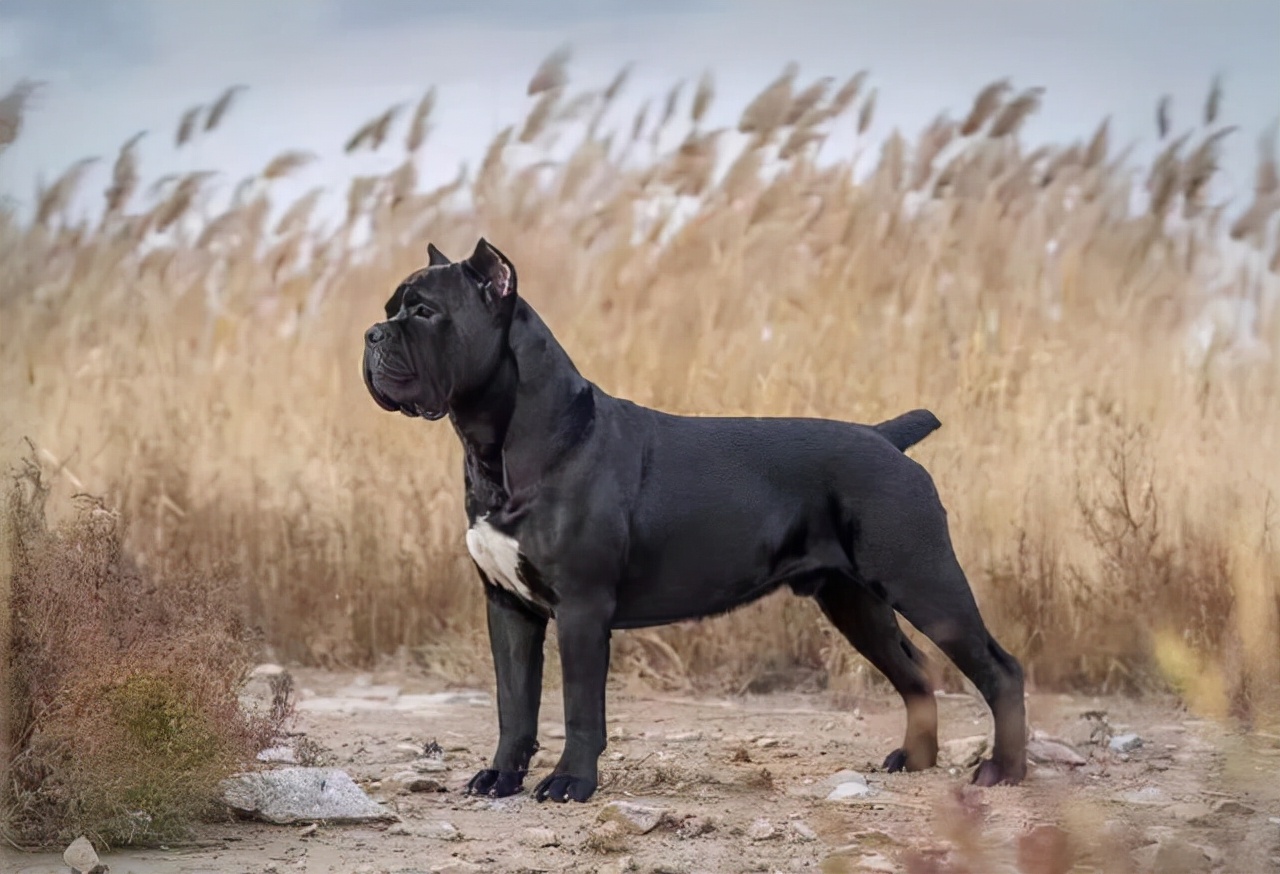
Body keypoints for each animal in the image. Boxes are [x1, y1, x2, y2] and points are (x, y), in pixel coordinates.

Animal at [363, 235, 1029, 803]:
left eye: (423, 312)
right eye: (392, 307)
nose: (371, 333)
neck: (499, 444)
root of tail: (886, 438)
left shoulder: (581, 607)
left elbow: (578, 707)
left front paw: (570, 782)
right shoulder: (508, 607)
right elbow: (514, 704)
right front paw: (501, 776)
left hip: (925, 583)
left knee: (999, 669)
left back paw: (1004, 770)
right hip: (854, 601)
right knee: (913, 671)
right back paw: (915, 760)